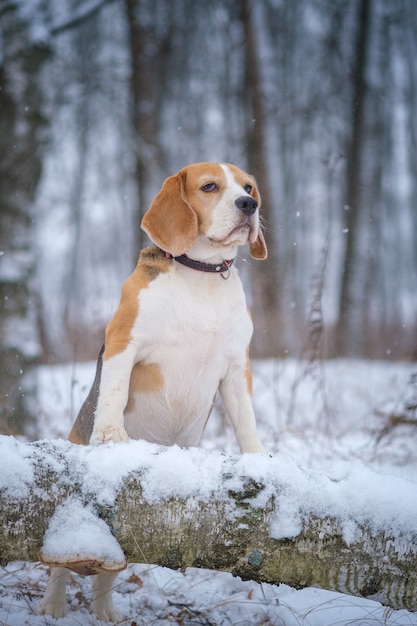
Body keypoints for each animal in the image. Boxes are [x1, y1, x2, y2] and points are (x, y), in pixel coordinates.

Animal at [38, 161, 266, 620]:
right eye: (210, 187)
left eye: (248, 187)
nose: (248, 205)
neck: (201, 276)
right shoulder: (124, 341)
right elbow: (112, 393)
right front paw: (111, 437)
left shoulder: (237, 369)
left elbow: (246, 421)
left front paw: (258, 457)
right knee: (59, 570)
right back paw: (53, 606)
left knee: (107, 575)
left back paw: (106, 613)